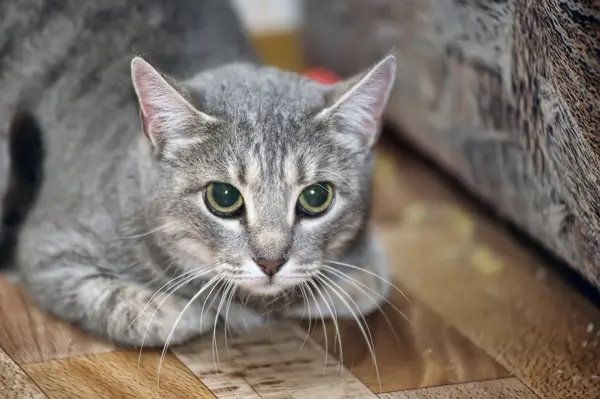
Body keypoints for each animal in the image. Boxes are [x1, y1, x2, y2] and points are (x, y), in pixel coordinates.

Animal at [4, 0, 398, 348]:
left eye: (316, 198)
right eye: (223, 197)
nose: (270, 262)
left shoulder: (369, 262)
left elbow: (364, 288)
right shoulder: (49, 253)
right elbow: (152, 313)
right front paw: (205, 309)